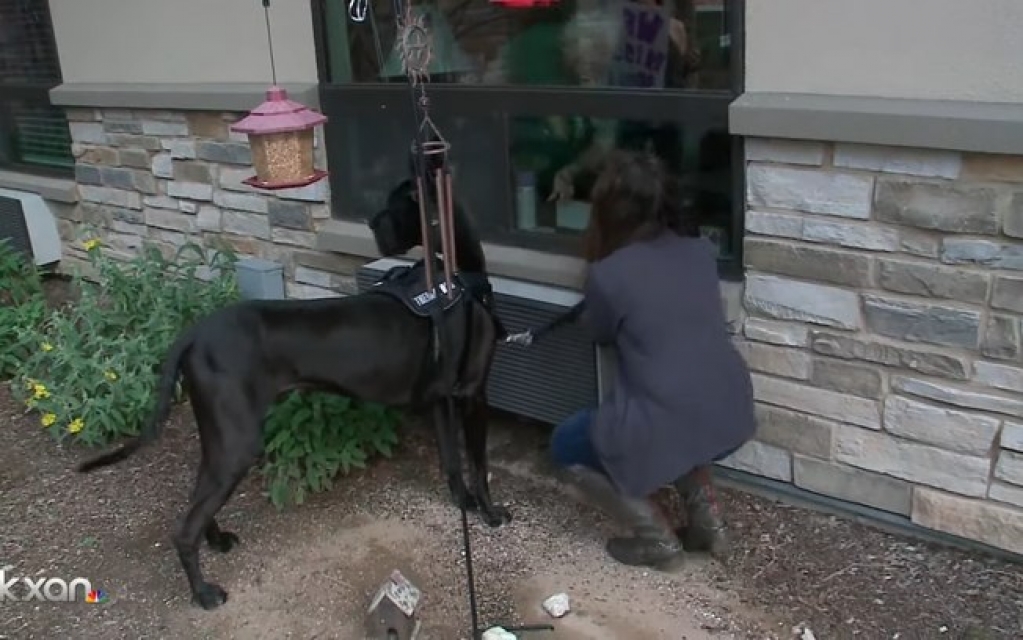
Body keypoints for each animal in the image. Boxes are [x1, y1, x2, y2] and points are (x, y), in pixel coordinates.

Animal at [74, 169, 511, 609]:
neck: (456, 275)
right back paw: (204, 592)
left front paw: (464, 502)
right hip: (238, 442)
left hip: (220, 436)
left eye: (392, 203)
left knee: (198, 494)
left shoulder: (443, 398)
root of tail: (193, 333)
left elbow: (453, 461)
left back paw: (217, 540)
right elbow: (479, 465)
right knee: (184, 527)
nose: (371, 224)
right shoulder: (474, 395)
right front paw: (491, 514)